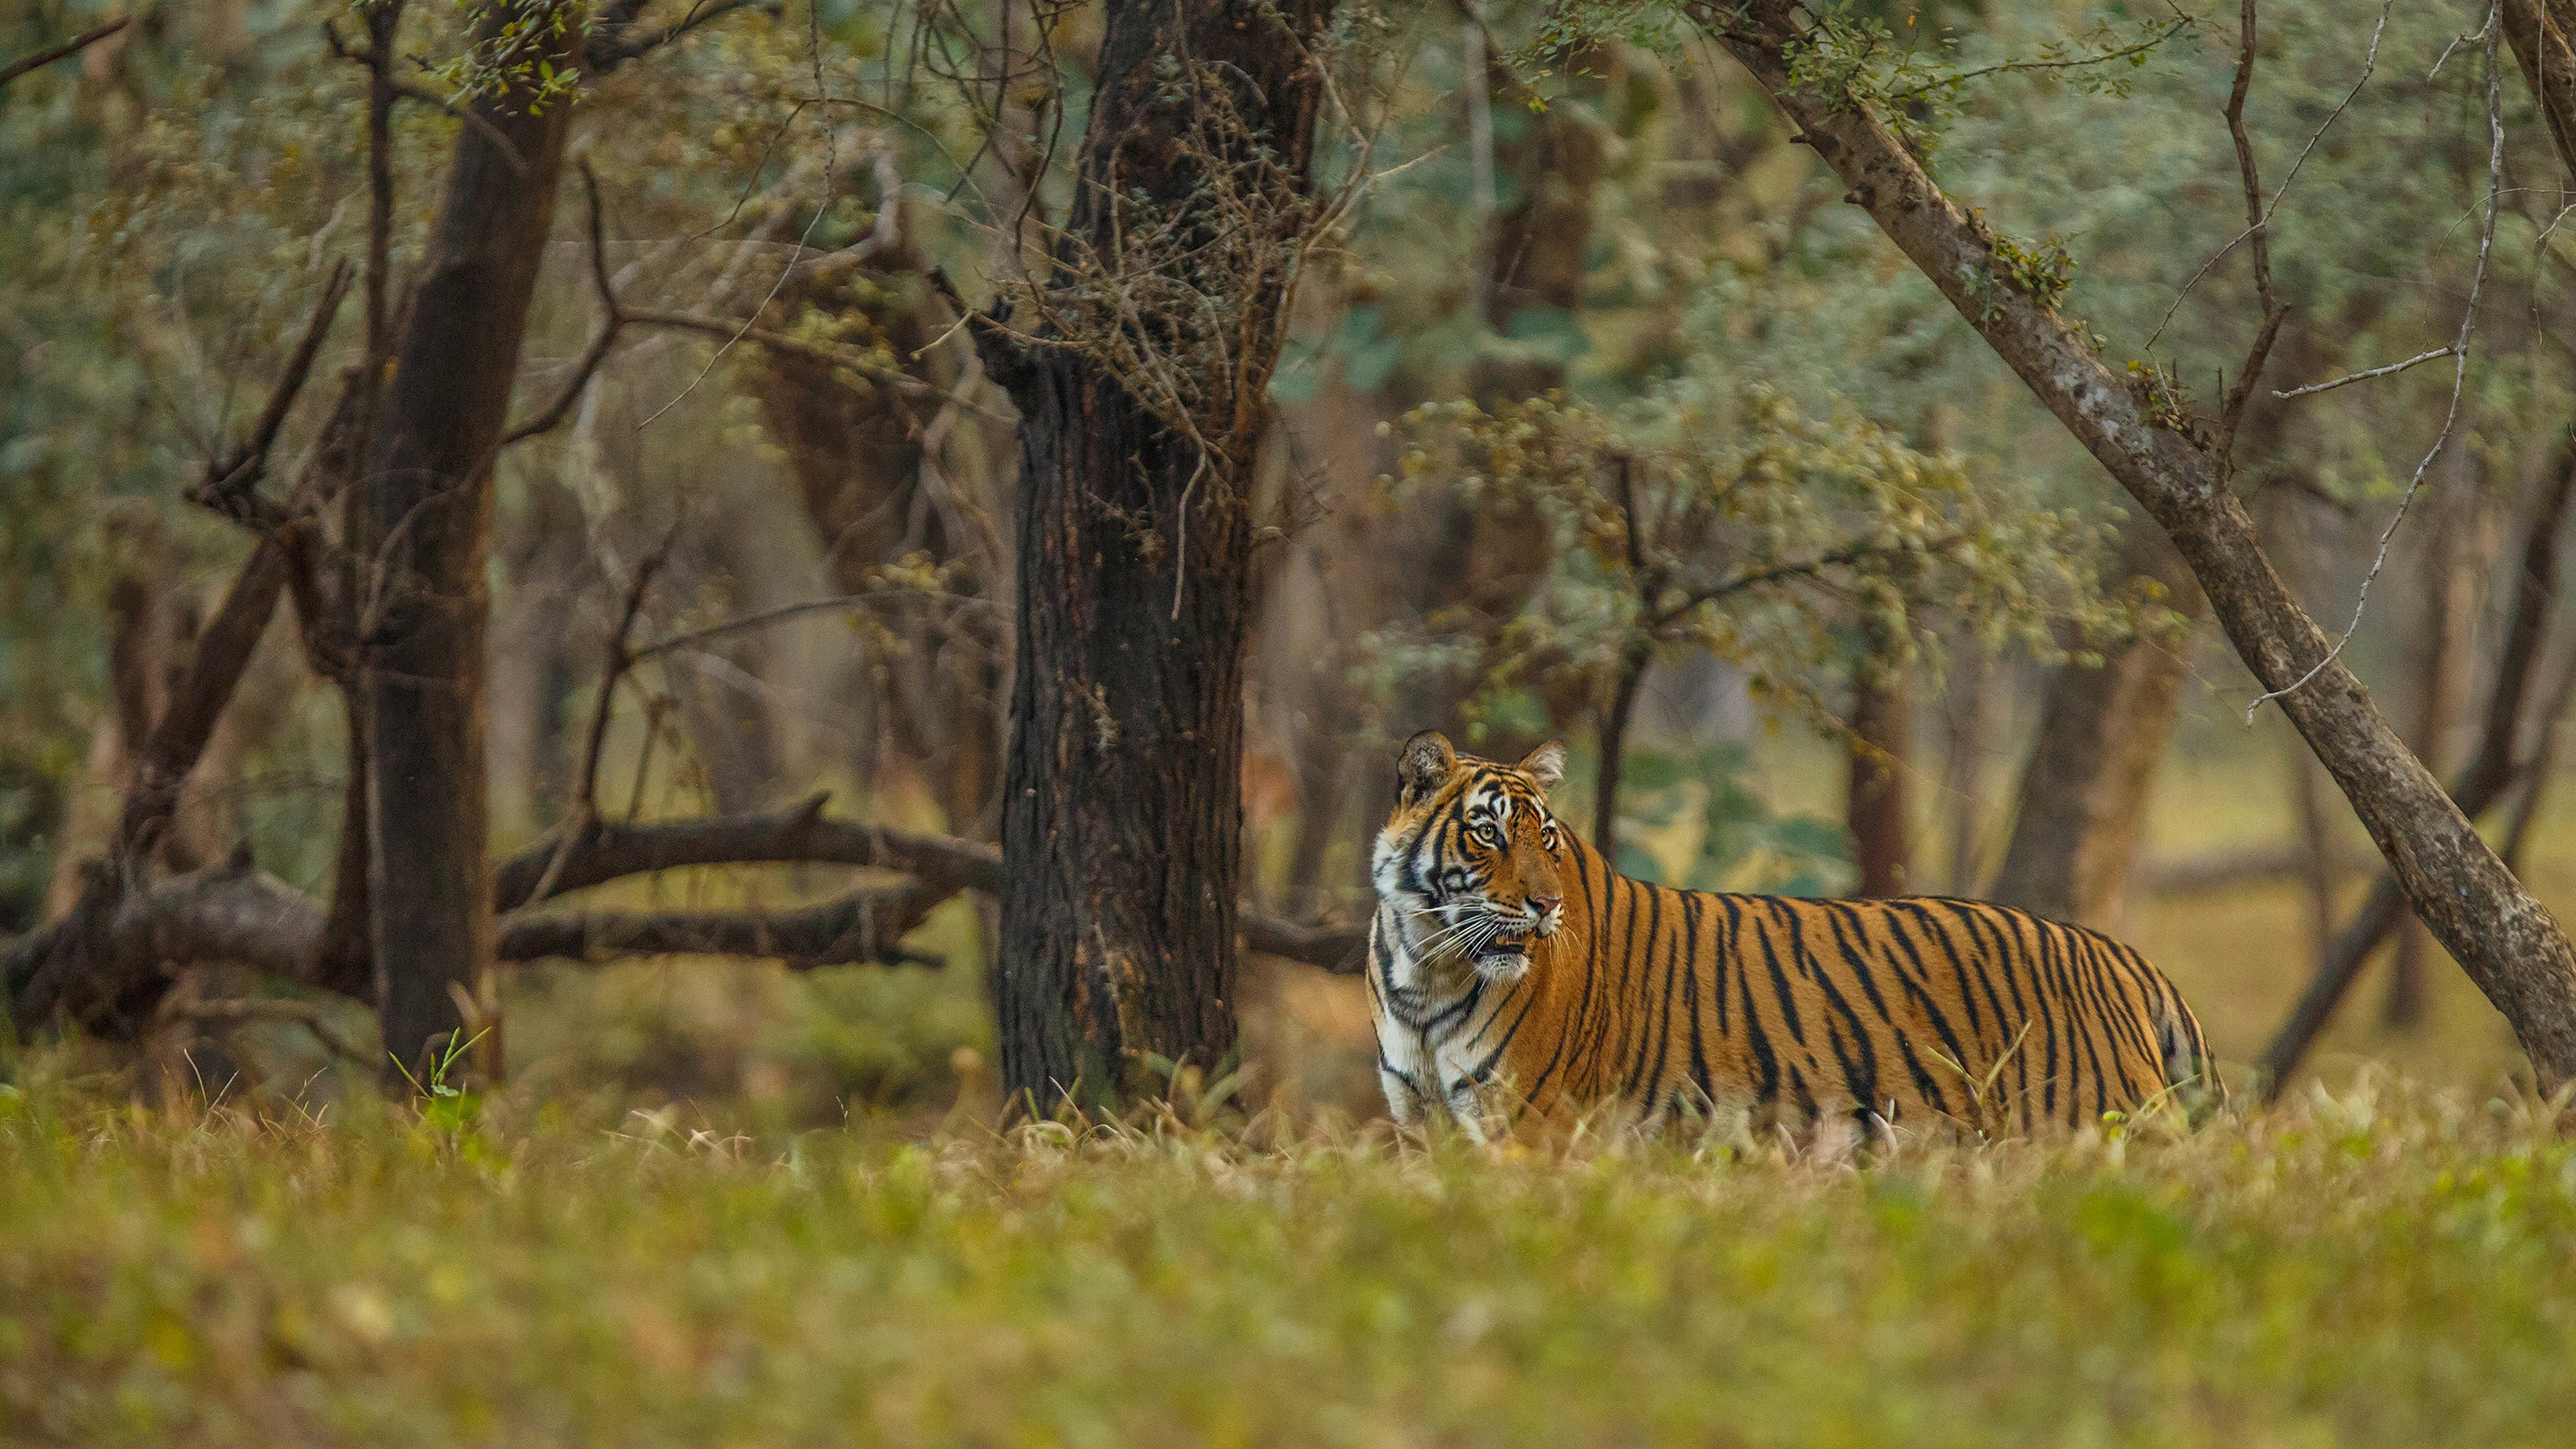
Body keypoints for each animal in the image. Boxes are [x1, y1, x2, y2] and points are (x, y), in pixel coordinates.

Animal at [1360, 726, 2225, 1134]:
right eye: (1488, 835)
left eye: (1545, 840)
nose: (1546, 908)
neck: (1425, 966)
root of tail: (2122, 956)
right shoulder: (1423, 1125)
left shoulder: (1531, 1125)